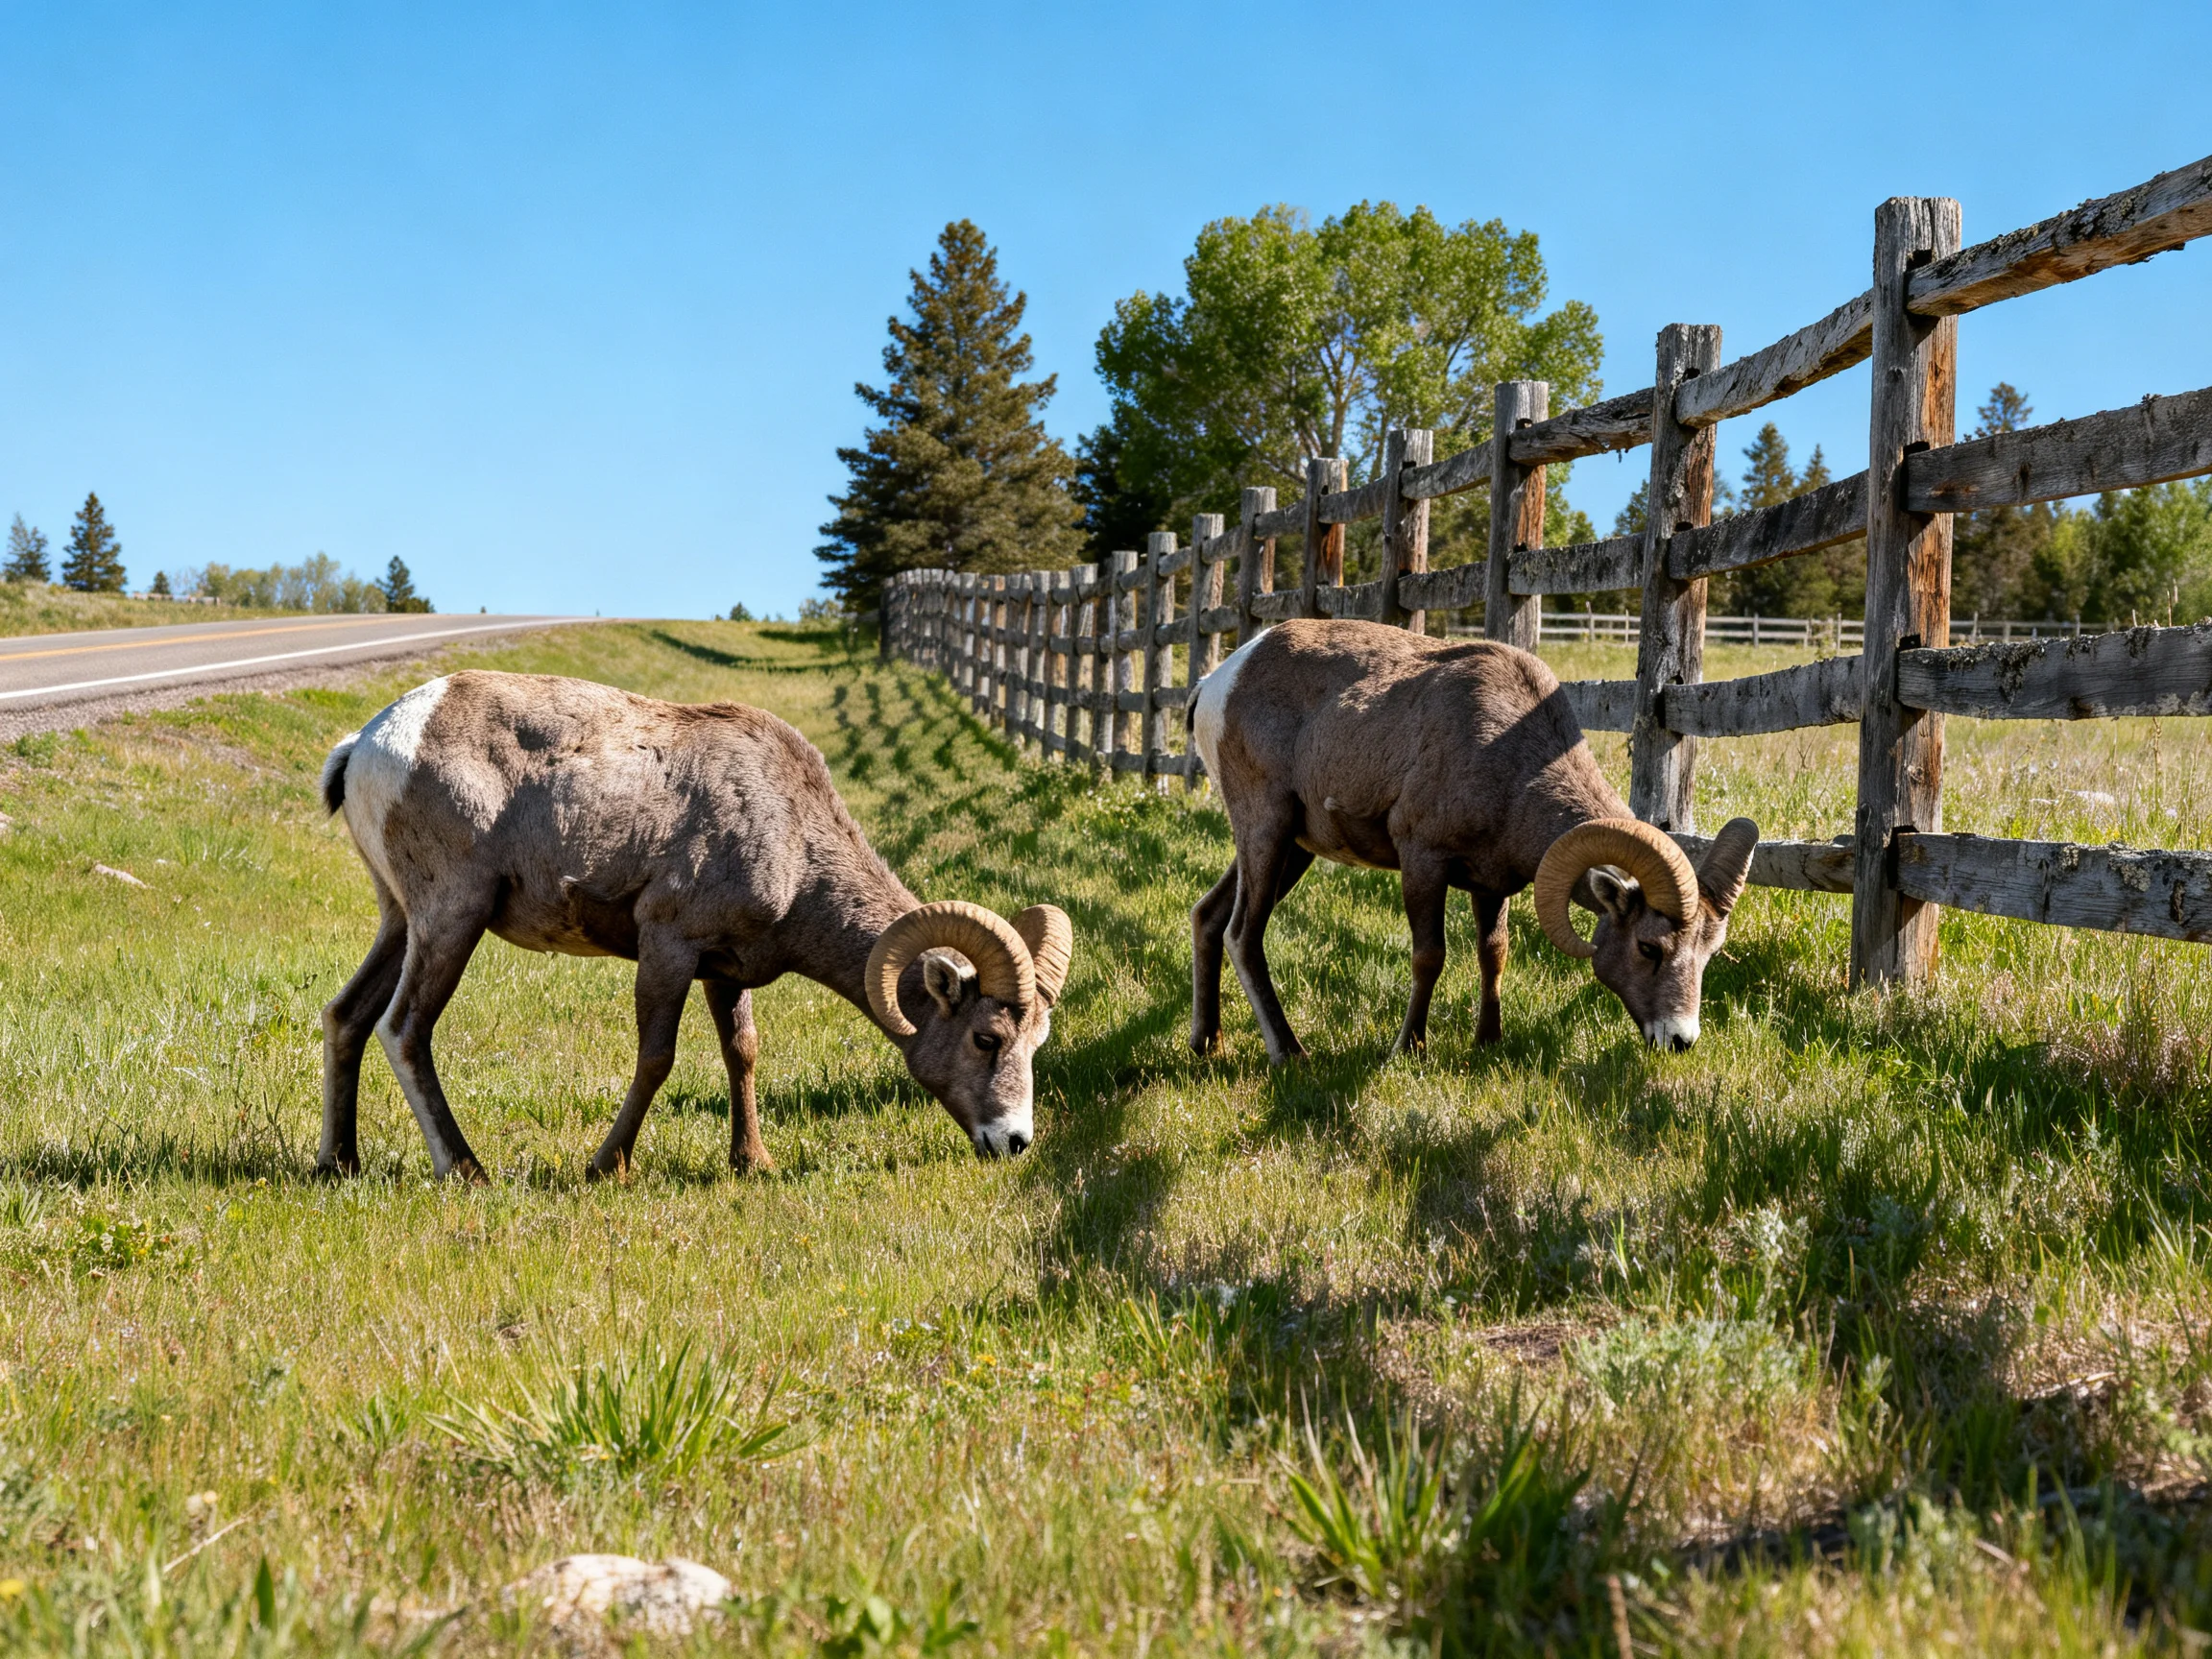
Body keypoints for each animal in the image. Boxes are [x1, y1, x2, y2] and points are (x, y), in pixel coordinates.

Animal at [315, 670, 1073, 1180]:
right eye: (985, 1037)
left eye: (1037, 1042)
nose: (1014, 1142)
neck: (792, 837)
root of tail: (370, 743)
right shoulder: (668, 946)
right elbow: (657, 1058)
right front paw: (605, 1167)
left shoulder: (724, 970)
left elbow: (742, 1052)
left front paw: (753, 1163)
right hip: (452, 917)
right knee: (404, 1028)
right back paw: (467, 1171)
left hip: (400, 921)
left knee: (347, 1016)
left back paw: (339, 1163)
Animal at [1187, 620, 1757, 1060]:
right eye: (1648, 947)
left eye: (1710, 953)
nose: (1680, 1040)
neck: (1509, 758)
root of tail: (1218, 682)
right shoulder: (1423, 862)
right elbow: (1429, 957)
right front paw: (1408, 1050)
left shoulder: (1491, 885)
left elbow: (1494, 953)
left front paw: (1488, 1042)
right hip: (1266, 826)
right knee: (1242, 933)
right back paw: (1290, 1053)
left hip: (1291, 848)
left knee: (1209, 917)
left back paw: (1207, 1044)